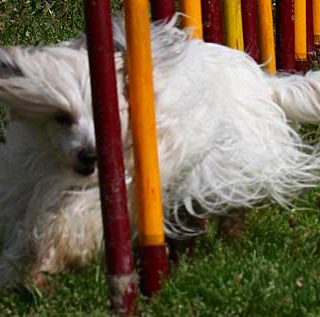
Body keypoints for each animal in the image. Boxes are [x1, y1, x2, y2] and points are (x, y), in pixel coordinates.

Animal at [0, 17, 320, 288]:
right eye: (62, 117)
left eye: (107, 116)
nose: (89, 155)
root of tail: (264, 81)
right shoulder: (28, 179)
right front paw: (19, 272)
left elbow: (69, 223)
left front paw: (43, 269)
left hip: (228, 157)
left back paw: (229, 231)